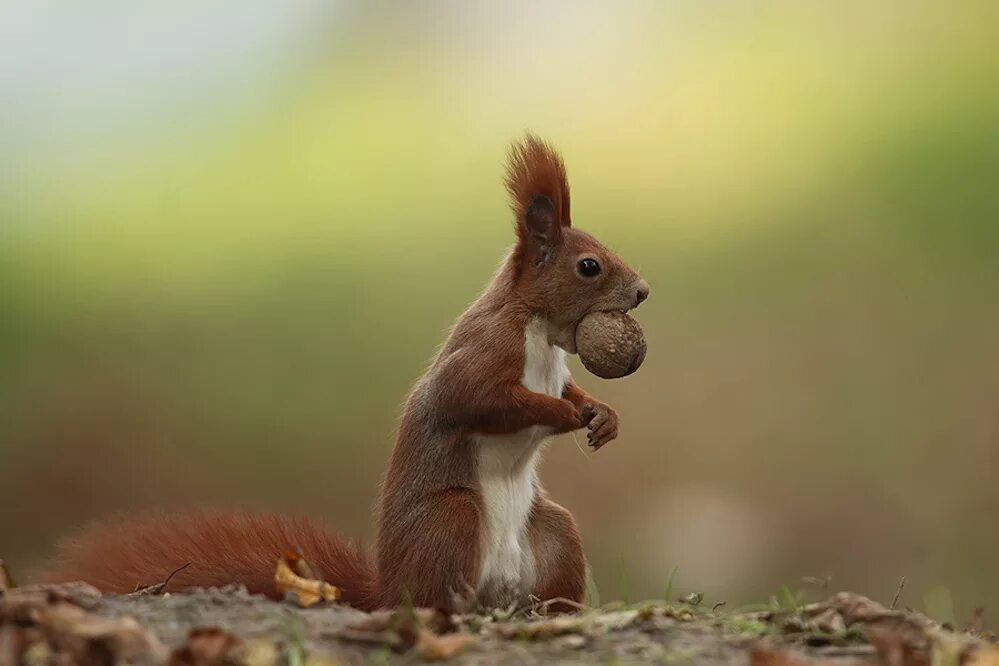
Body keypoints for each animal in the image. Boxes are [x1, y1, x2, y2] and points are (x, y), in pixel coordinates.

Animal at [37, 134, 648, 612]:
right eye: (589, 266)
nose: (643, 291)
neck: (540, 330)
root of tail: (388, 590)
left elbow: (570, 387)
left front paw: (601, 414)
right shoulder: (485, 352)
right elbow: (474, 398)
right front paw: (563, 414)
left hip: (553, 534)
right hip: (451, 519)